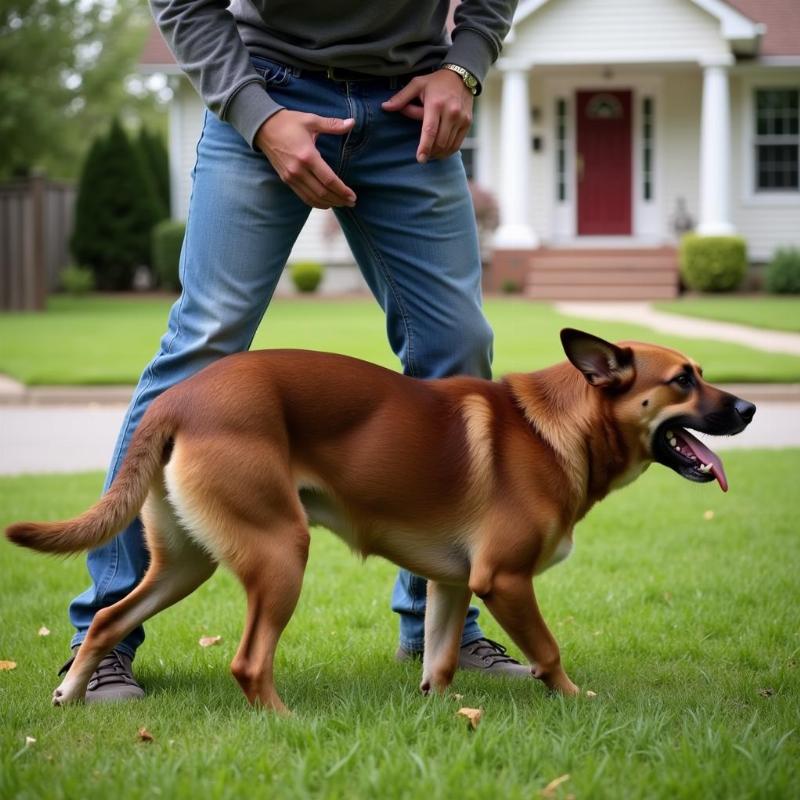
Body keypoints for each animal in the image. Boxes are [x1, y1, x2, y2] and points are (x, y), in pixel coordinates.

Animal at [4, 328, 756, 708]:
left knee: (107, 617)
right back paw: (284, 723)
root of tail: (178, 400)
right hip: (280, 554)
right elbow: (548, 650)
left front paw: (444, 716)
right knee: (248, 663)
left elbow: (443, 659)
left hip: (185, 564)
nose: (748, 408)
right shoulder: (506, 581)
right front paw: (575, 698)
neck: (555, 428)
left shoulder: (452, 583)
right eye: (683, 380)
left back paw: (72, 690)